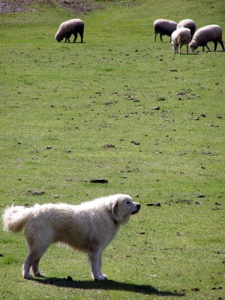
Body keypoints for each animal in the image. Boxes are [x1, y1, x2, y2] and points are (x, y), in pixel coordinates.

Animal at [2, 195, 141, 282]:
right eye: (127, 202)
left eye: (131, 200)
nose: (139, 205)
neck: (109, 213)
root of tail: (32, 211)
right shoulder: (95, 249)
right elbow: (95, 265)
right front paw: (97, 277)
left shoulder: (99, 249)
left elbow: (99, 264)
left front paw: (101, 276)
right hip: (39, 245)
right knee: (28, 262)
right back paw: (27, 276)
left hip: (42, 246)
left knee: (35, 262)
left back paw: (38, 274)